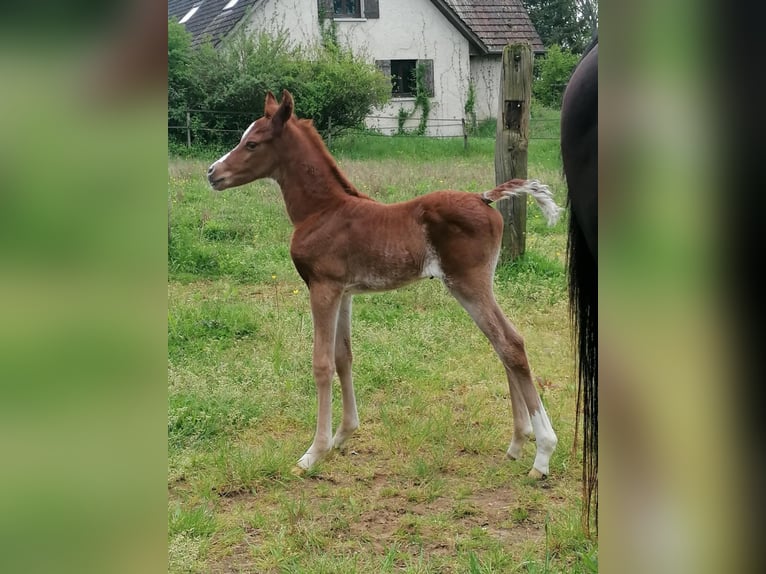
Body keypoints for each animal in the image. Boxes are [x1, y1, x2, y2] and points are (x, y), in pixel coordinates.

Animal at [210, 91, 564, 476]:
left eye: (252, 143)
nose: (213, 173)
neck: (322, 211)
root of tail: (483, 197)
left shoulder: (322, 287)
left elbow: (321, 363)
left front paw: (313, 453)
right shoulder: (344, 292)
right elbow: (343, 356)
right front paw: (343, 435)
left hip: (469, 284)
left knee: (510, 343)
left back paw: (543, 453)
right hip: (476, 285)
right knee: (502, 343)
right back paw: (517, 443)